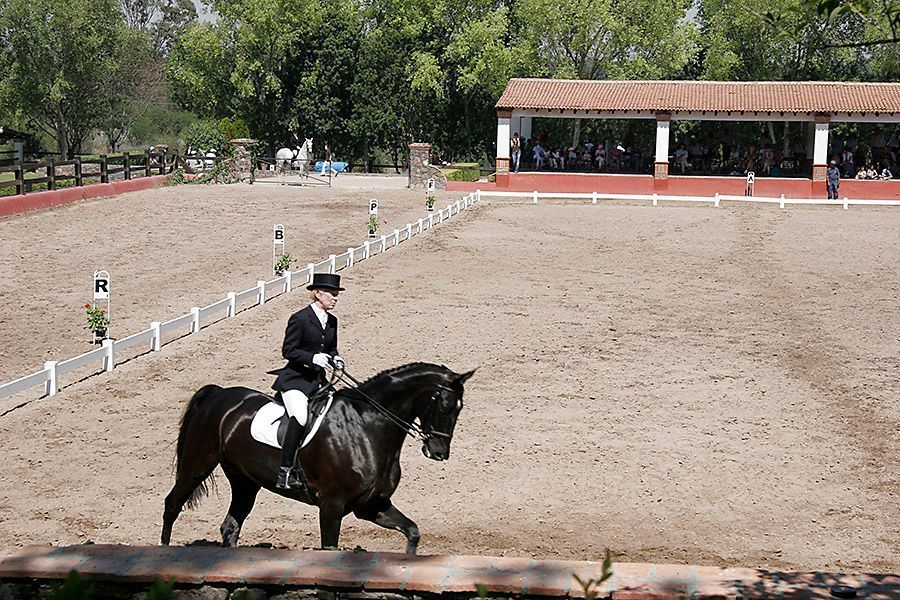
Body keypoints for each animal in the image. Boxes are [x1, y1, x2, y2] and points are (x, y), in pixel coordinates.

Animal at [161, 360, 474, 552]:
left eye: (459, 409)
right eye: (445, 407)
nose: (439, 452)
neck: (367, 428)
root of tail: (219, 394)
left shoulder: (372, 505)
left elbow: (412, 531)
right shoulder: (331, 505)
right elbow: (329, 549)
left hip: (245, 481)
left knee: (230, 526)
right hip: (196, 465)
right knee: (172, 505)